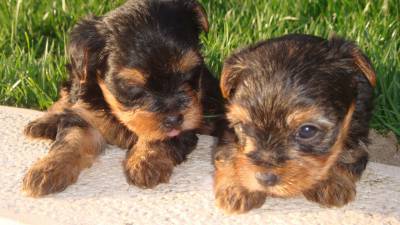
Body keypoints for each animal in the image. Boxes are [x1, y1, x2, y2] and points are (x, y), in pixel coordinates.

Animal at [21, 0, 223, 197]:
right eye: (133, 88)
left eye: (189, 73)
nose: (174, 119)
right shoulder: (86, 115)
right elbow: (70, 140)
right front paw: (47, 170)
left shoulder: (189, 117)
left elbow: (162, 136)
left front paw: (145, 161)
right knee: (68, 92)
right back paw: (46, 121)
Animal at [214, 34, 376, 214]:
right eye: (243, 126)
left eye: (307, 130)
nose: (264, 178)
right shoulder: (227, 129)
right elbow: (229, 151)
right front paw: (237, 187)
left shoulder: (357, 121)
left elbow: (351, 150)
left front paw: (333, 180)